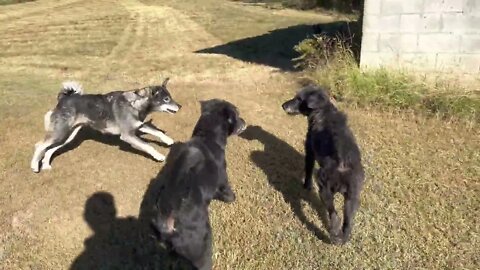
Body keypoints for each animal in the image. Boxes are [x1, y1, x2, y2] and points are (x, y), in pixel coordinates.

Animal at [30, 77, 180, 173]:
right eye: (166, 99)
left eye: (170, 97)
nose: (180, 106)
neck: (135, 103)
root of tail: (64, 99)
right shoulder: (128, 135)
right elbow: (147, 145)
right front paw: (159, 155)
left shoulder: (138, 125)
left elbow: (156, 131)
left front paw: (168, 140)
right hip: (60, 133)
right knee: (39, 145)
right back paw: (34, 166)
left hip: (67, 135)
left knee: (49, 149)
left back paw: (46, 166)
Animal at [151, 99, 248, 270]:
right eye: (237, 115)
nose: (245, 122)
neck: (207, 137)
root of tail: (165, 222)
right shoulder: (223, 181)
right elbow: (228, 194)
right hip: (202, 248)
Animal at [282, 85, 364, 244]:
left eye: (298, 99)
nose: (283, 105)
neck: (324, 110)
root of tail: (343, 164)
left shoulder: (309, 151)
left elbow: (308, 170)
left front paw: (306, 186)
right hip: (352, 199)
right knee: (347, 223)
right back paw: (342, 240)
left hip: (324, 188)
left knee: (334, 215)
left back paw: (333, 234)